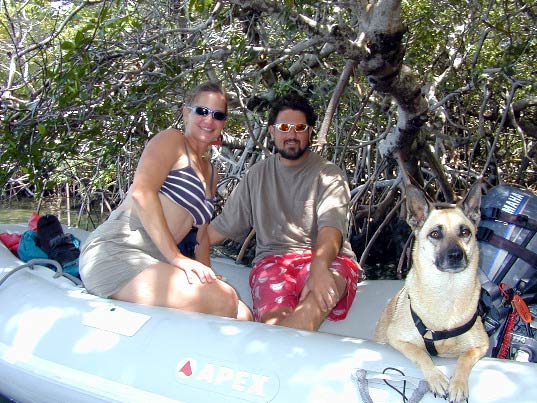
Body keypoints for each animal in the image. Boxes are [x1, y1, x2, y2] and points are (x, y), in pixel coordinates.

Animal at [374, 185, 488, 403]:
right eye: (435, 234)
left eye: (465, 232)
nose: (456, 255)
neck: (447, 292)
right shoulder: (398, 339)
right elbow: (421, 354)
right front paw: (436, 378)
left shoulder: (481, 345)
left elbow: (465, 357)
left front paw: (458, 385)